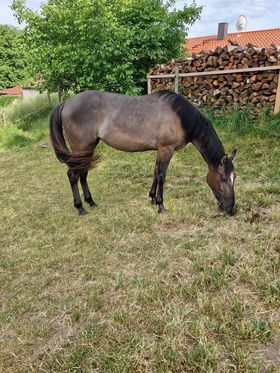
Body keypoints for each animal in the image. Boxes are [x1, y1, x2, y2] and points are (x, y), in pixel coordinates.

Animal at [49, 89, 236, 215]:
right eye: (223, 178)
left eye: (235, 177)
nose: (230, 208)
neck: (179, 115)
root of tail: (66, 103)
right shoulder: (166, 149)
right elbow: (162, 176)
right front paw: (161, 205)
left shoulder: (160, 150)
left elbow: (155, 173)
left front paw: (152, 198)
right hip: (81, 148)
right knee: (73, 175)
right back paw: (80, 208)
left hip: (88, 148)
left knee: (83, 174)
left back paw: (91, 202)